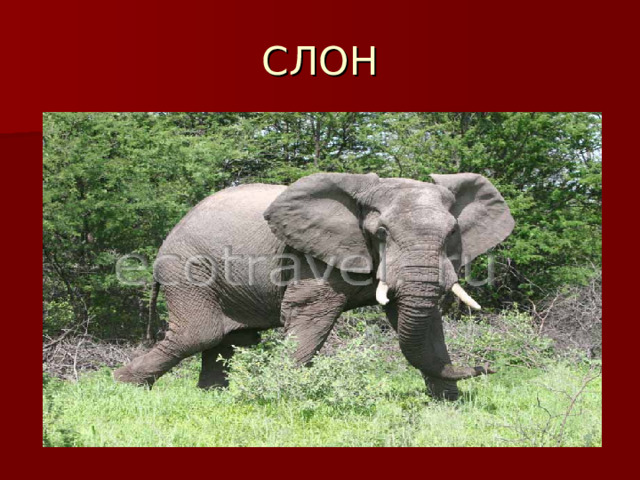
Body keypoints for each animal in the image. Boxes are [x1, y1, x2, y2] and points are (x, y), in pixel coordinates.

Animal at [114, 172, 514, 400]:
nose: (487, 368)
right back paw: (122, 385)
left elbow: (423, 323)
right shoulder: (308, 256)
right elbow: (311, 319)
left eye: (452, 233)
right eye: (381, 233)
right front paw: (280, 396)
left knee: (231, 340)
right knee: (200, 334)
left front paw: (450, 404)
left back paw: (210, 397)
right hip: (188, 268)